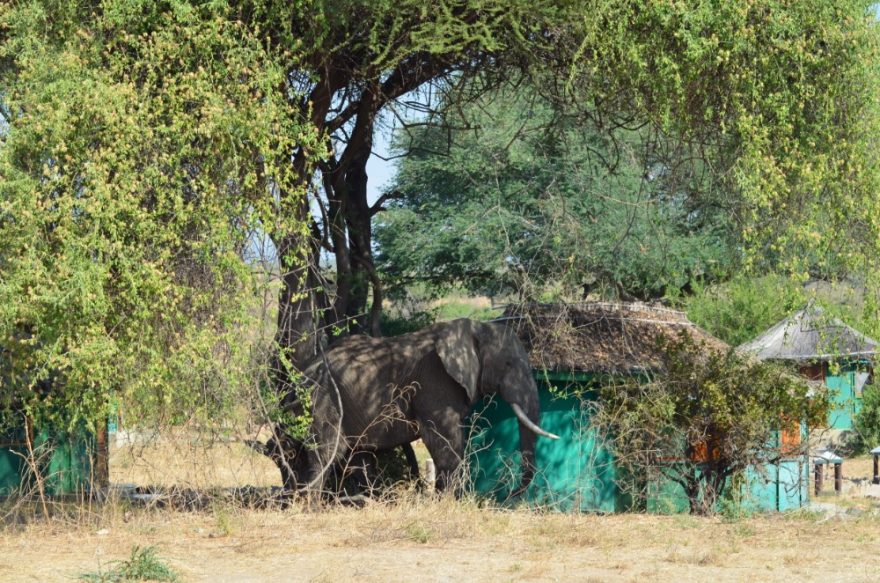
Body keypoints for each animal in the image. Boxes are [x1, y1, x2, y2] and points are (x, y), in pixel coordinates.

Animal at [288, 318, 556, 496]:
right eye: (508, 363)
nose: (510, 494)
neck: (475, 328)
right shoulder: (434, 381)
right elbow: (445, 441)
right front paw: (447, 503)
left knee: (355, 458)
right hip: (322, 398)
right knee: (326, 454)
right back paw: (314, 508)